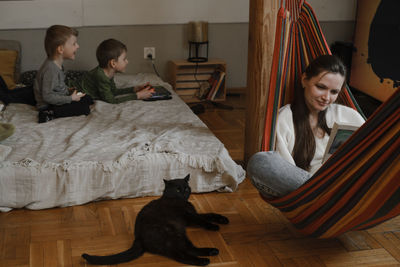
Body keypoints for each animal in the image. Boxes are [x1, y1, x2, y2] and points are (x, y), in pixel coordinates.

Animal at [81, 175, 228, 266]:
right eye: (177, 189)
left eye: (186, 188)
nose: (184, 192)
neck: (179, 201)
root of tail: (138, 238)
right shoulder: (189, 216)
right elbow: (202, 220)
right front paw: (214, 227)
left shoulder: (192, 215)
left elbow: (208, 214)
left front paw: (223, 219)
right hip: (174, 234)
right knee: (181, 254)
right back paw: (204, 260)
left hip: (179, 235)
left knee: (188, 249)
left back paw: (212, 252)